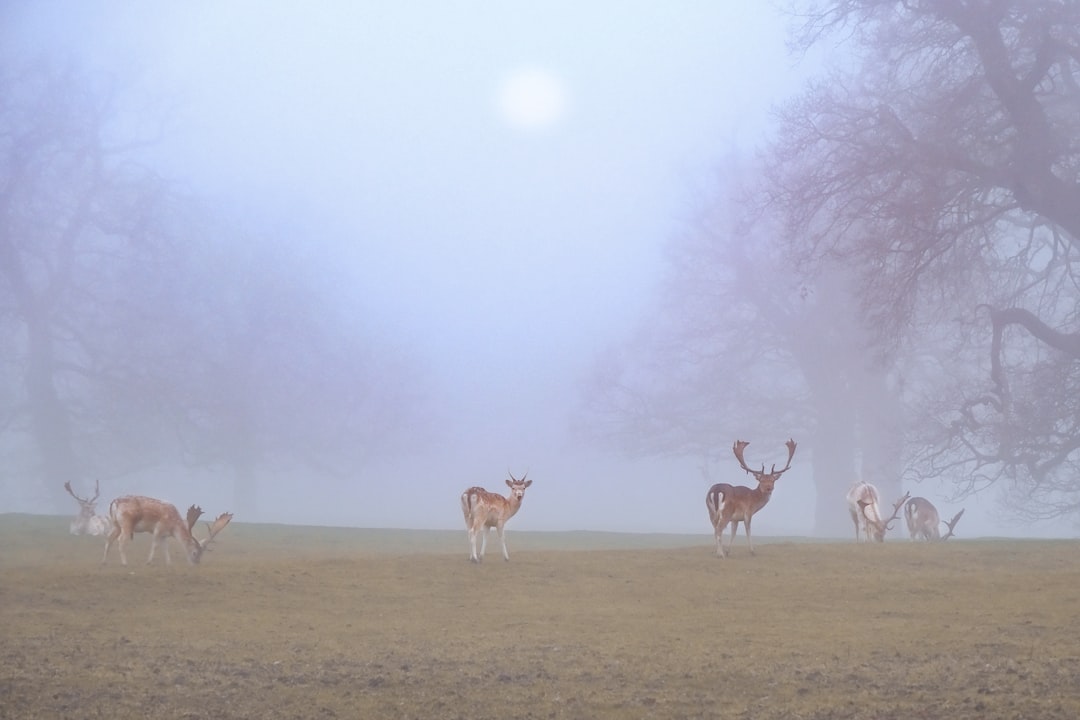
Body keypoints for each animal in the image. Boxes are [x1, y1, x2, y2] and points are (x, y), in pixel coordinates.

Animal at [100, 496, 234, 569]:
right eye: (195, 552)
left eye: (202, 554)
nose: (196, 563)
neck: (173, 527)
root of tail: (114, 502)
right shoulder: (158, 528)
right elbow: (155, 545)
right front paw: (148, 562)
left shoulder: (164, 535)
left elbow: (165, 547)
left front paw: (169, 563)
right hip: (126, 524)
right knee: (121, 540)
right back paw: (124, 563)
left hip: (116, 525)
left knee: (108, 538)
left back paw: (104, 562)